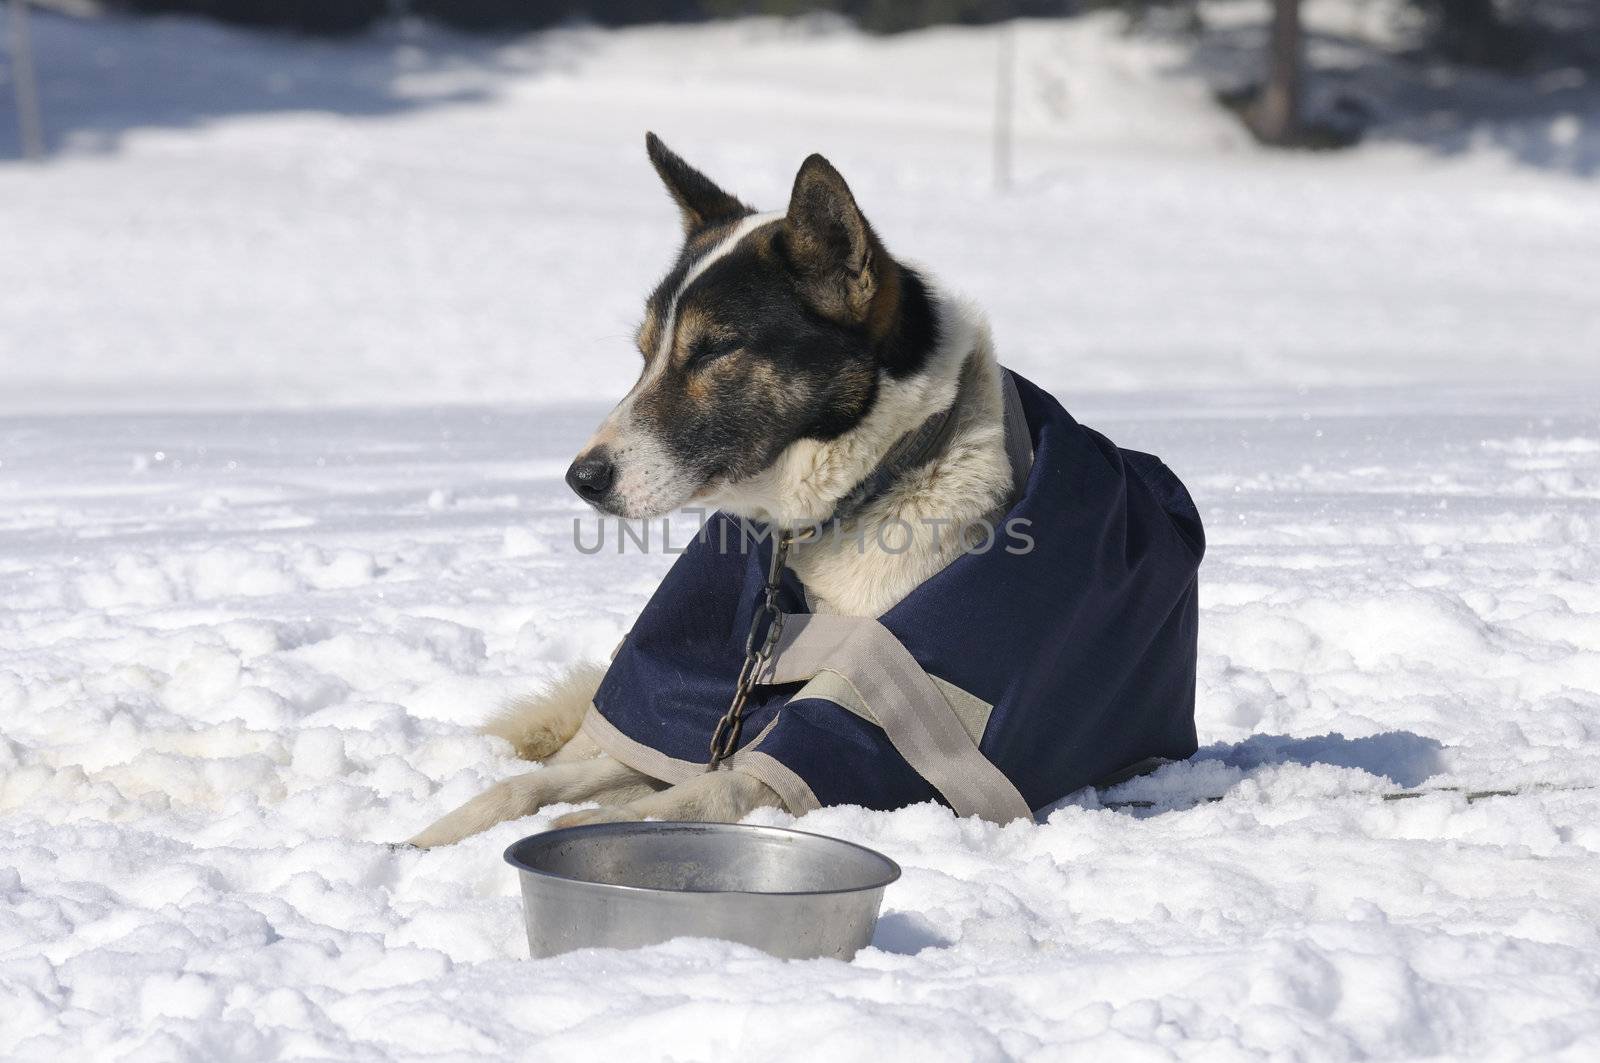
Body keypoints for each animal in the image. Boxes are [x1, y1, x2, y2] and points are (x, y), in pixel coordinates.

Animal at [409, 135, 1203, 845]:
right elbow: (538, 784)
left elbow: (699, 795)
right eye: (645, 352)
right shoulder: (697, 728)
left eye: (714, 350)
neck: (865, 495)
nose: (582, 479)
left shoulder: (840, 736)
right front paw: (431, 836)